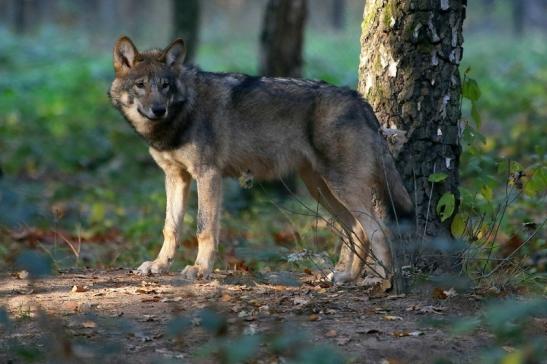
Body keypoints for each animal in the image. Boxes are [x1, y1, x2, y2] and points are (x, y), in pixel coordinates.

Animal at [109, 35, 414, 288]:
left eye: (165, 86)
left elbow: (203, 229)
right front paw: (159, 265)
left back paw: (383, 282)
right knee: (357, 231)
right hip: (322, 189)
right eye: (140, 85)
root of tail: (358, 99)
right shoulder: (175, 177)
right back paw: (346, 276)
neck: (181, 115)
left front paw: (200, 269)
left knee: (377, 230)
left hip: (340, 187)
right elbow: (170, 228)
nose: (158, 109)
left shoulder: (208, 175)